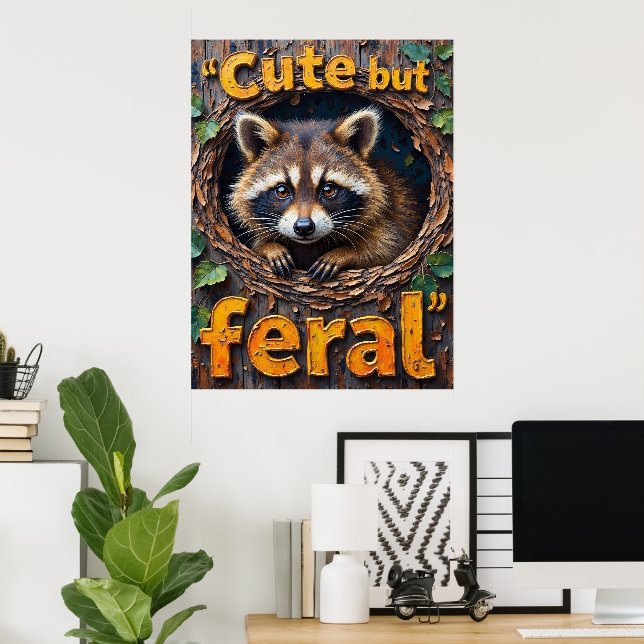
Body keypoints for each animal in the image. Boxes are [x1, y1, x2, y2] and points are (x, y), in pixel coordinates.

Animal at [228, 107, 423, 280]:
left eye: (328, 190)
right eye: (282, 191)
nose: (304, 227)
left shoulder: (391, 224)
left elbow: (387, 250)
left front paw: (344, 252)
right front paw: (270, 247)